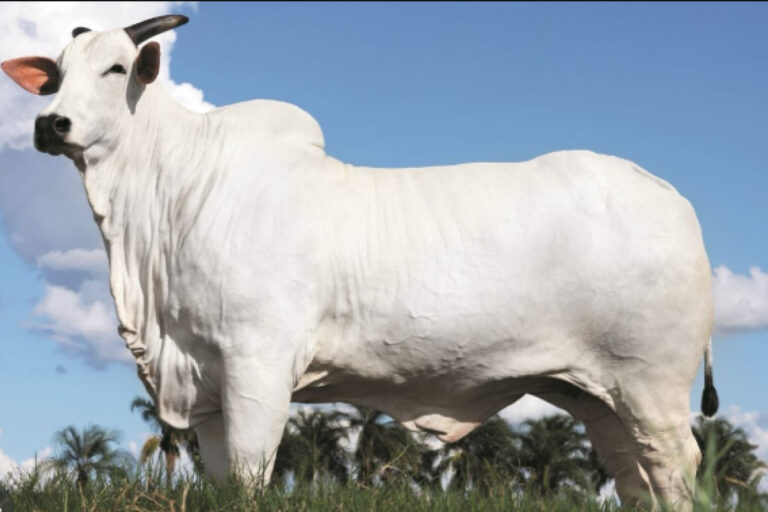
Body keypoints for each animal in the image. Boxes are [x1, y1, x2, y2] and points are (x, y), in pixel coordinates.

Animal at [3, 15, 718, 509]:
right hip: (599, 396)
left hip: (652, 385)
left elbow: (252, 474)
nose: (50, 124)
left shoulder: (258, 364)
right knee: (633, 473)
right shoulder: (203, 381)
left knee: (677, 464)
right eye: (55, 74)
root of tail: (670, 196)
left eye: (116, 69)